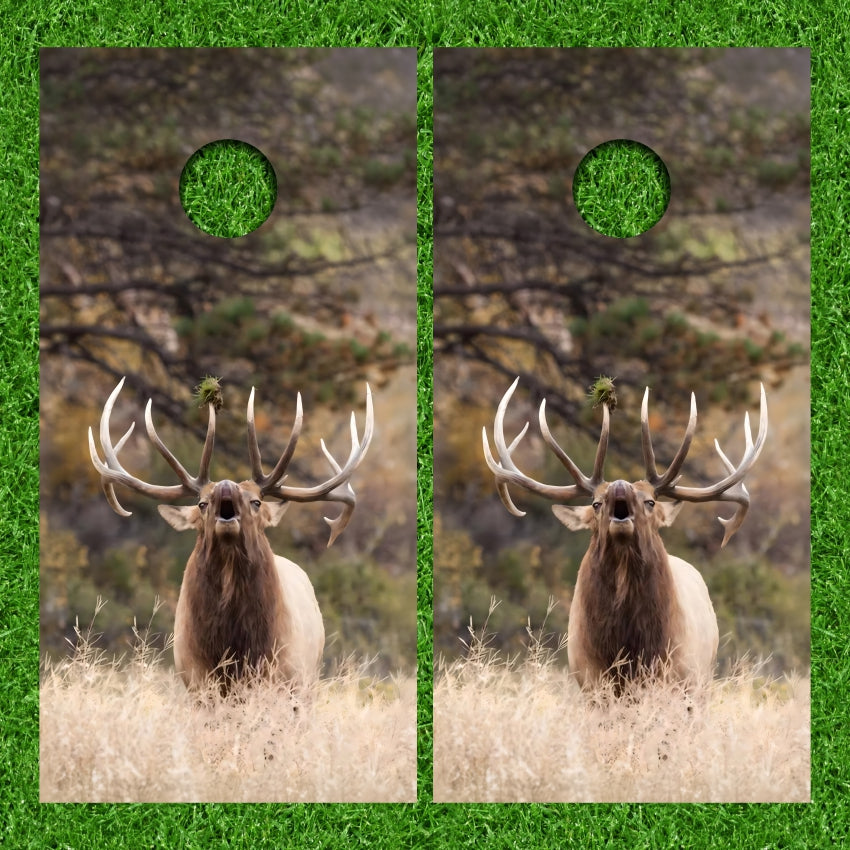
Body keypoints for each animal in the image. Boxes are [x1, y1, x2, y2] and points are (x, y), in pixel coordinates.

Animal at [88, 377, 373, 695]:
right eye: (202, 503)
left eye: (256, 501)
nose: (226, 485)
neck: (236, 649)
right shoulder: (196, 682)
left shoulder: (287, 679)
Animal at [483, 378, 767, 695]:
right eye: (596, 503)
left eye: (650, 501)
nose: (620, 485)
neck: (629, 648)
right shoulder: (590, 681)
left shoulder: (680, 679)